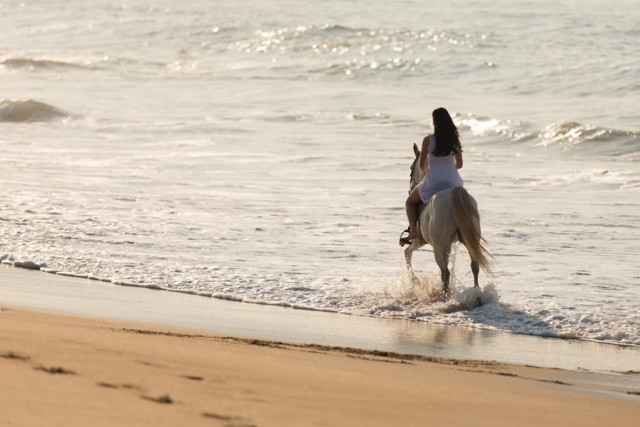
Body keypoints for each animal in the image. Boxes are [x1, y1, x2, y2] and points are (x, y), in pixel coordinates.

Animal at [402, 142, 492, 292]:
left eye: (411, 168)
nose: (410, 189)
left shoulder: (419, 241)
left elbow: (407, 253)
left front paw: (415, 280)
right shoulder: (448, 245)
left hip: (437, 247)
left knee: (445, 272)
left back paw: (445, 294)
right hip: (468, 241)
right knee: (475, 265)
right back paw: (475, 292)